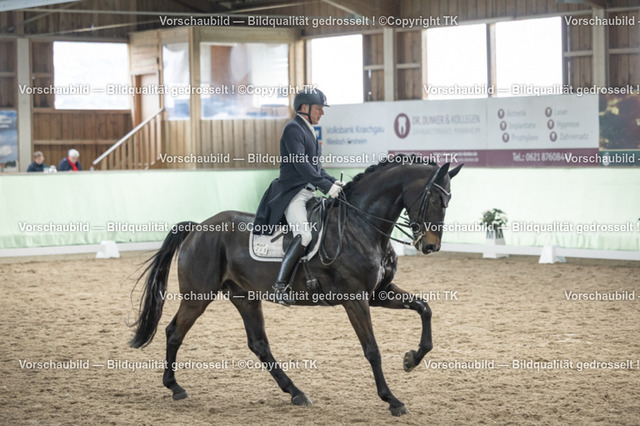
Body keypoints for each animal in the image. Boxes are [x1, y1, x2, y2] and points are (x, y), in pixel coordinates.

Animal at [129, 155, 462, 416]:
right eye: (435, 199)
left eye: (448, 201)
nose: (430, 246)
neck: (360, 226)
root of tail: (198, 228)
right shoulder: (355, 298)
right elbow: (372, 349)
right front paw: (392, 399)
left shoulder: (379, 293)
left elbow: (424, 308)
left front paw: (411, 359)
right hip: (198, 295)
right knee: (174, 332)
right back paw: (175, 387)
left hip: (244, 296)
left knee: (259, 345)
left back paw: (296, 392)